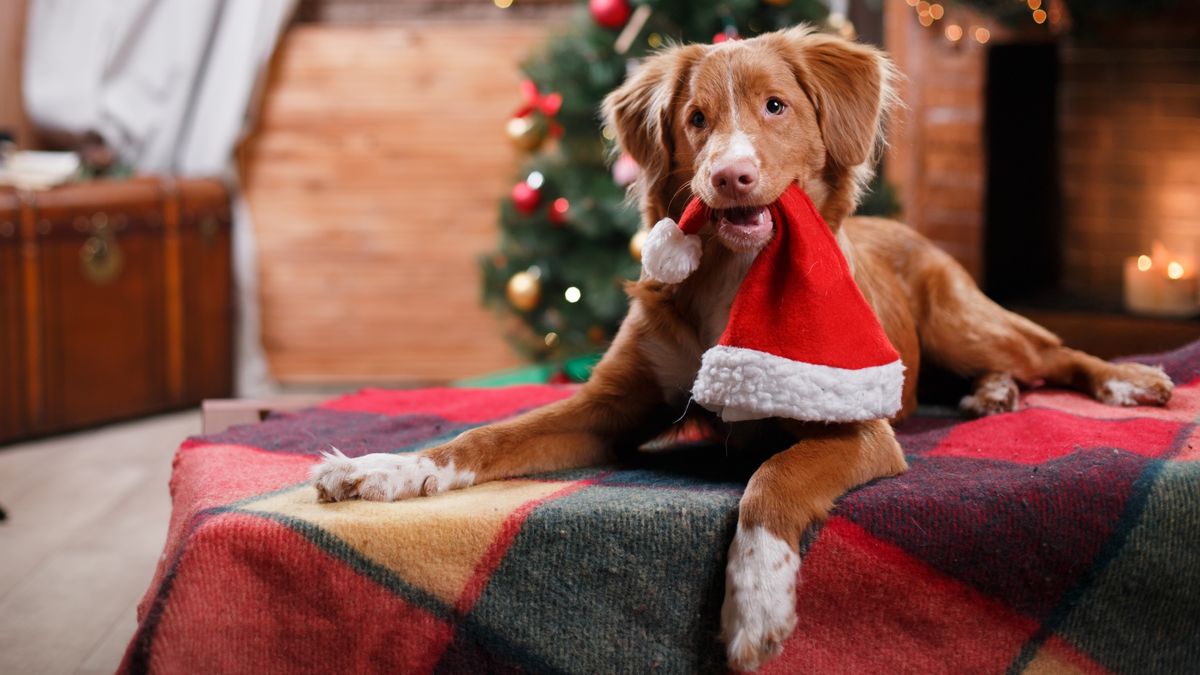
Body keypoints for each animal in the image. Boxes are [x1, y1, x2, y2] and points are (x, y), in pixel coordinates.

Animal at [312, 24, 1171, 667]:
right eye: (695, 119)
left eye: (775, 106)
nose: (729, 176)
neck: (733, 278)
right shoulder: (606, 408)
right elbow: (483, 436)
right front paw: (382, 470)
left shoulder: (857, 426)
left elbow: (771, 481)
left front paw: (757, 601)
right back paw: (990, 393)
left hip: (964, 319)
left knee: (1052, 352)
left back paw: (1124, 380)